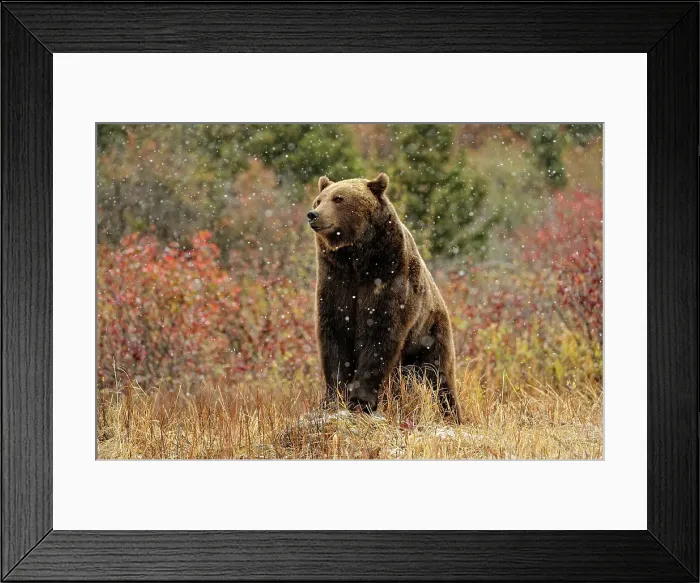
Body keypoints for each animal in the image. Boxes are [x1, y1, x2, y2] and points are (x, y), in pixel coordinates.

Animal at [308, 172, 463, 424]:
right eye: (319, 200)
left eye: (339, 198)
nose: (313, 214)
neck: (356, 257)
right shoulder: (335, 281)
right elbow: (334, 335)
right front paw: (334, 398)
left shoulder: (388, 277)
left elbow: (381, 333)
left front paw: (361, 400)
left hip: (430, 333)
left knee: (438, 377)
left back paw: (450, 414)